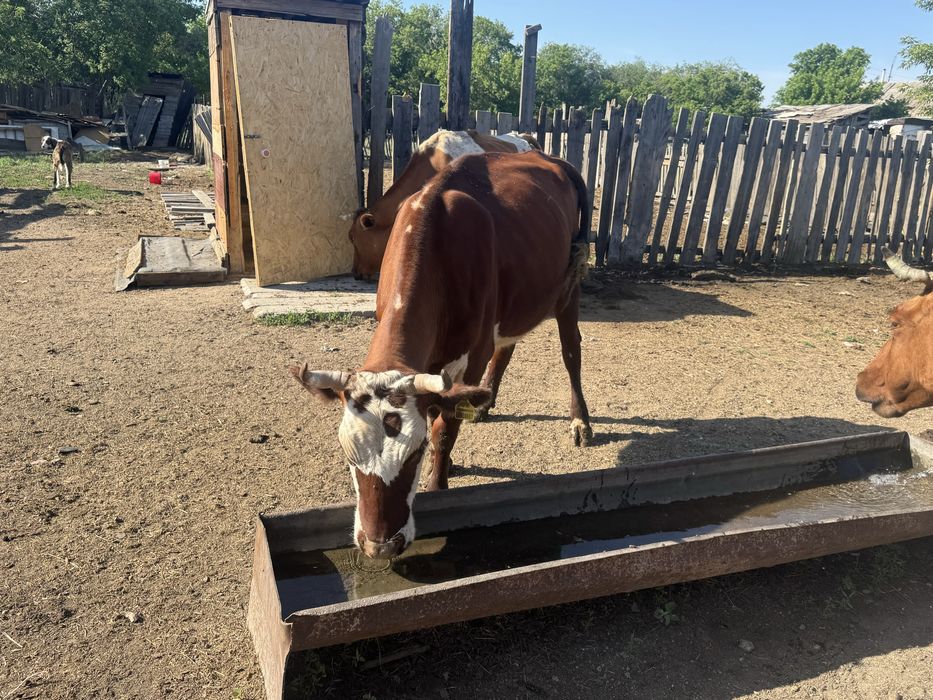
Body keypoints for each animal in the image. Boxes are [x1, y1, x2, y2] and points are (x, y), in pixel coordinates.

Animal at [292, 149, 593, 559]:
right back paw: (485, 404)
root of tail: (543, 155)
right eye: (348, 454)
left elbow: (444, 428)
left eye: (414, 453)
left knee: (570, 350)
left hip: (568, 287)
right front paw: (448, 460)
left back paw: (580, 421)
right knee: (507, 348)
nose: (380, 546)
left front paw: (439, 483)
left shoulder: (472, 354)